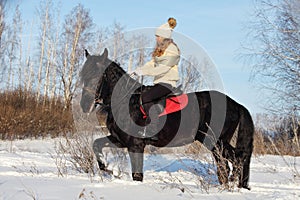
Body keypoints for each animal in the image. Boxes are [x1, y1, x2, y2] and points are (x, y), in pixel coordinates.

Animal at [79, 49, 253, 190]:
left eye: (97, 75)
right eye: (83, 75)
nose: (84, 105)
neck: (125, 101)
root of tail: (236, 104)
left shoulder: (135, 144)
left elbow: (137, 176)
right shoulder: (120, 140)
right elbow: (96, 144)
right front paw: (109, 170)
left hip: (215, 141)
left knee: (233, 161)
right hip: (217, 142)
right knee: (232, 162)